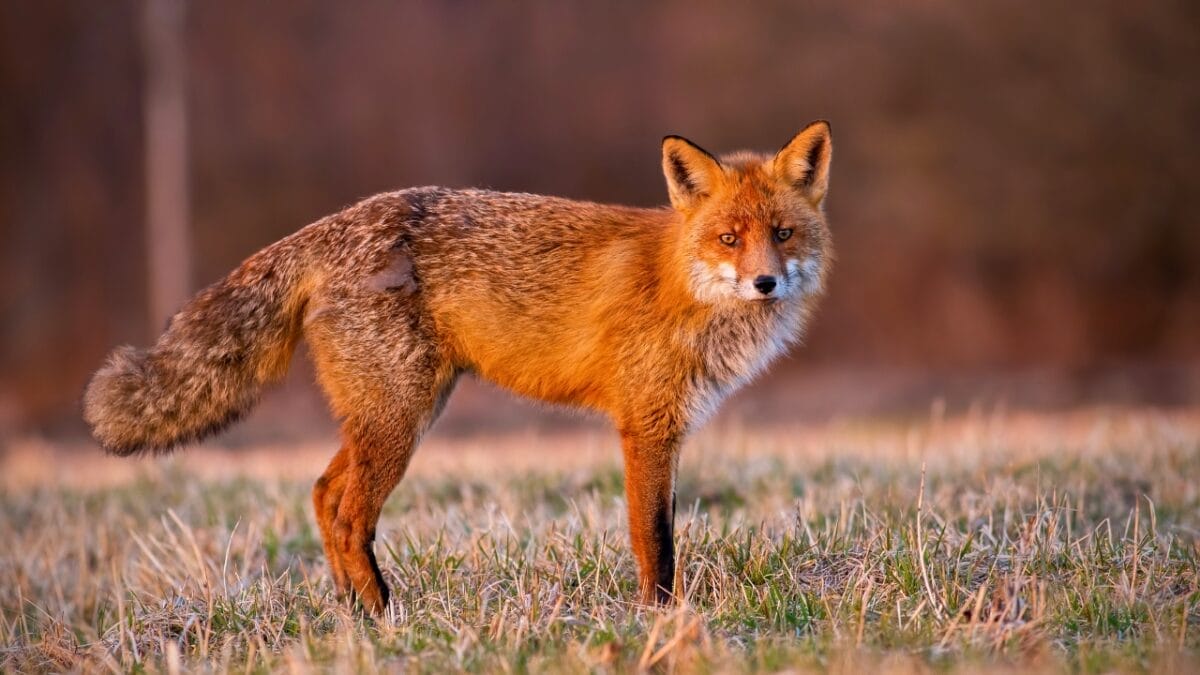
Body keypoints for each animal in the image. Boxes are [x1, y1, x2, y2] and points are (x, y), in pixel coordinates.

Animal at [83, 121, 833, 614]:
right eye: (728, 238)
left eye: (783, 234)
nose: (765, 282)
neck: (684, 284)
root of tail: (335, 221)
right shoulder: (645, 425)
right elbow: (655, 539)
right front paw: (662, 620)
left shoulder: (669, 428)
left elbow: (664, 532)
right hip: (399, 422)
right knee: (349, 514)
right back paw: (384, 618)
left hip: (394, 415)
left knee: (322, 494)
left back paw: (352, 613)